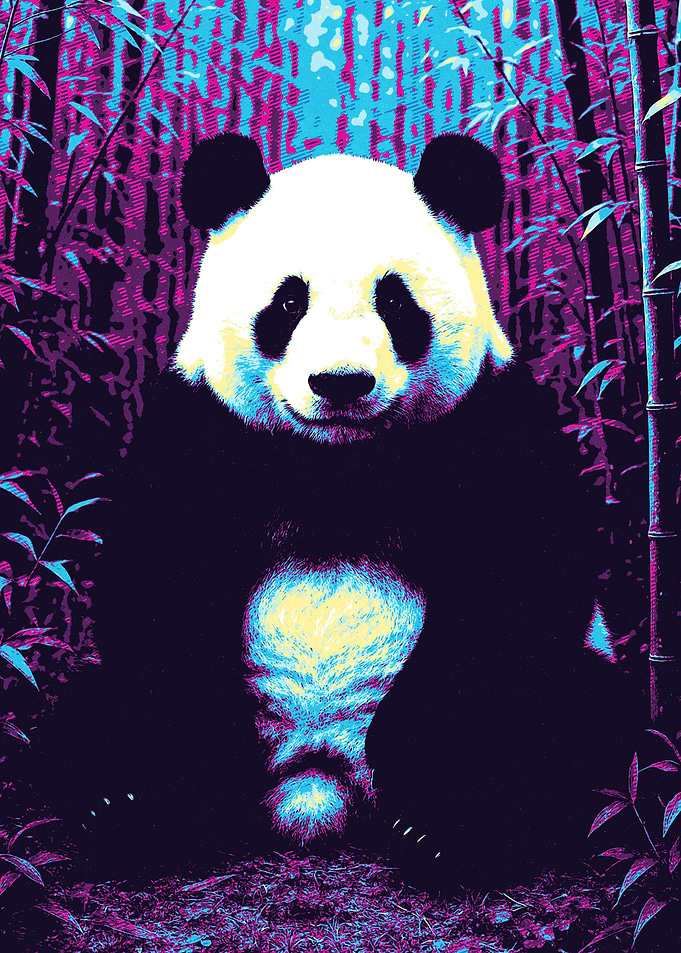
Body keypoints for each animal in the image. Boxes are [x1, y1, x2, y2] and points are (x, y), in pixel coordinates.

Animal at [30, 133, 638, 888]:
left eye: (396, 303)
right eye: (288, 302)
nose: (340, 383)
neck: (337, 463)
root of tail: (318, 781)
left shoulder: (488, 421)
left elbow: (516, 585)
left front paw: (439, 780)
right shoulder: (202, 425)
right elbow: (158, 586)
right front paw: (164, 779)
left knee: (581, 719)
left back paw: (456, 824)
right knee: (86, 713)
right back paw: (132, 806)